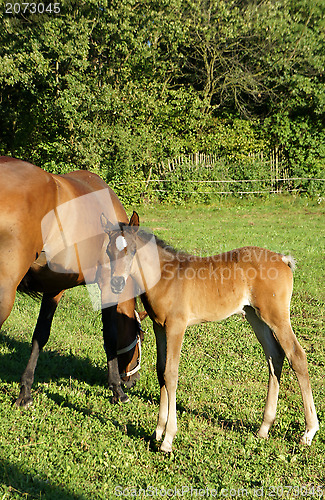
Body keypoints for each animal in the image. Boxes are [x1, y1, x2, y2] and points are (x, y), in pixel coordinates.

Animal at [0, 156, 142, 406]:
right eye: (139, 334)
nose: (131, 380)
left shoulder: (54, 289)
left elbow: (40, 335)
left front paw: (25, 391)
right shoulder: (107, 286)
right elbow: (110, 336)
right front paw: (117, 389)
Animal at [102, 211, 318, 454]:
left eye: (132, 250)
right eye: (109, 251)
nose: (117, 283)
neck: (165, 277)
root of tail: (282, 259)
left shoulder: (176, 327)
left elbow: (171, 374)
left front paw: (168, 438)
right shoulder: (159, 327)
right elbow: (160, 371)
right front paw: (157, 431)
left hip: (277, 317)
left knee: (297, 357)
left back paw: (309, 432)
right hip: (255, 317)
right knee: (275, 357)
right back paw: (264, 428)